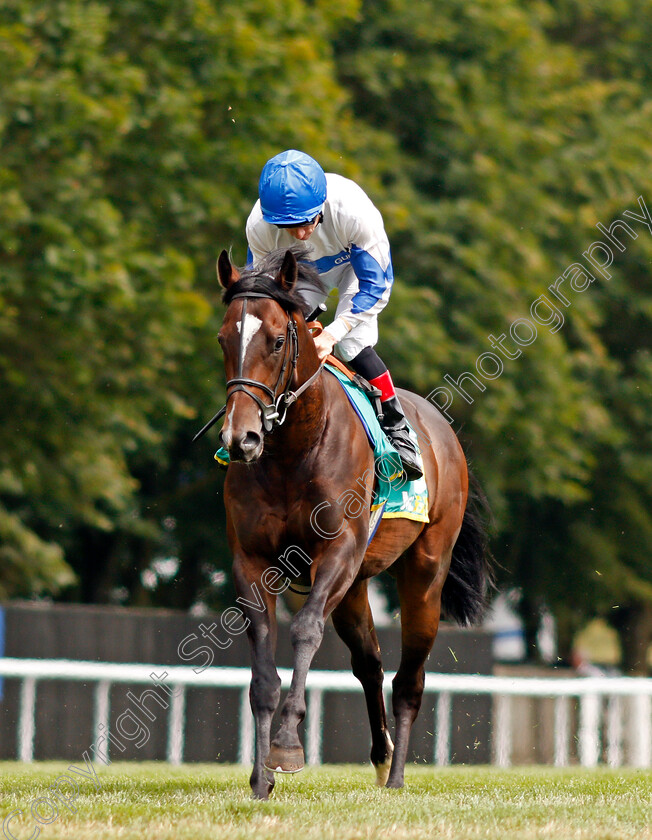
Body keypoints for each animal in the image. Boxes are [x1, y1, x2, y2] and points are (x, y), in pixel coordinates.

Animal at [216, 244, 492, 800]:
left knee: (409, 679)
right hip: (355, 586)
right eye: (222, 340)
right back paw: (382, 758)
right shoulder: (251, 561)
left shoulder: (338, 550)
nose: (241, 438)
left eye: (276, 340)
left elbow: (304, 631)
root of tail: (443, 430)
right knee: (370, 664)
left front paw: (286, 746)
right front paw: (259, 777)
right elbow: (263, 673)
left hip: (424, 573)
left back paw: (398, 776)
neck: (293, 452)